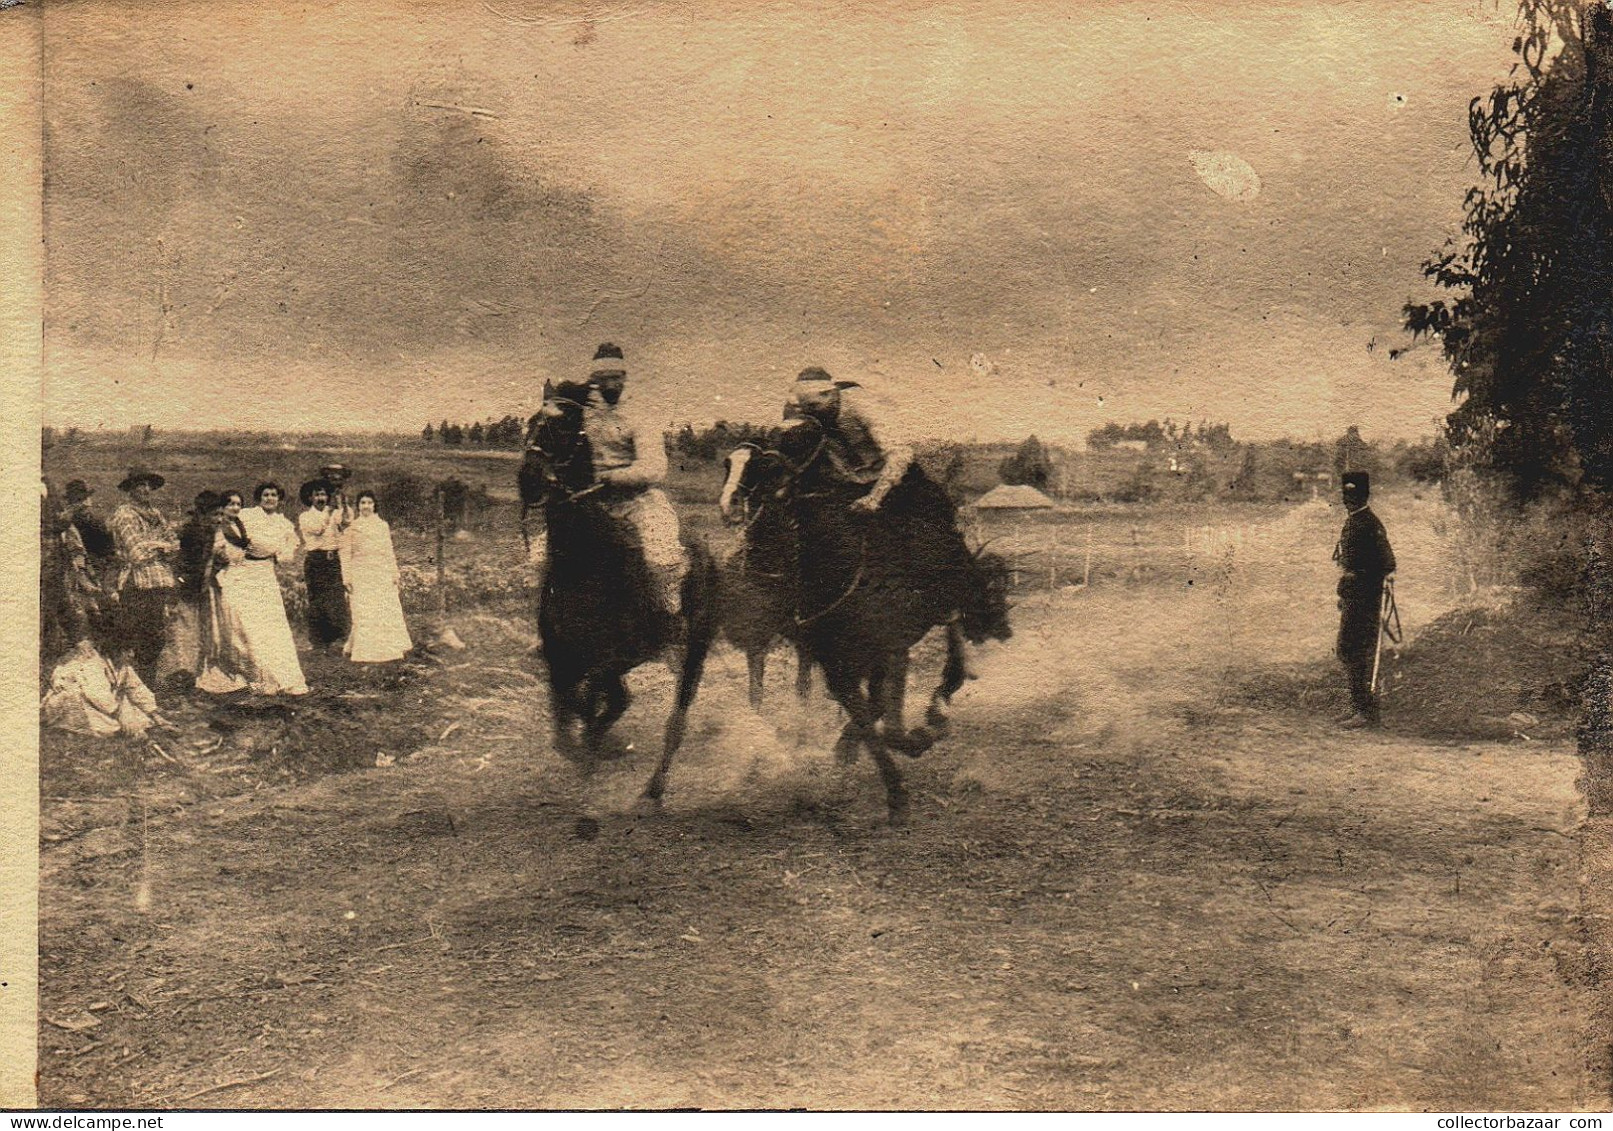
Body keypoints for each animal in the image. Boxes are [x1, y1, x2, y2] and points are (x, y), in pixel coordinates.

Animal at [519, 382, 722, 813]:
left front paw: (602, 745)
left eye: (564, 427)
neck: (587, 563)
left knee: (677, 720)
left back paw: (653, 790)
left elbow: (597, 706)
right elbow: (566, 720)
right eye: (530, 421)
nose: (529, 479)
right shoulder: (561, 658)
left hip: (694, 650)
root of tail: (707, 555)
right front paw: (596, 747)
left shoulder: (610, 660)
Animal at [729, 416, 1012, 819]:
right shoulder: (839, 662)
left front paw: (905, 744)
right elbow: (867, 716)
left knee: (953, 645)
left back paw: (938, 707)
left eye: (767, 466)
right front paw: (887, 783)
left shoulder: (891, 648)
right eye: (728, 465)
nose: (730, 507)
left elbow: (883, 717)